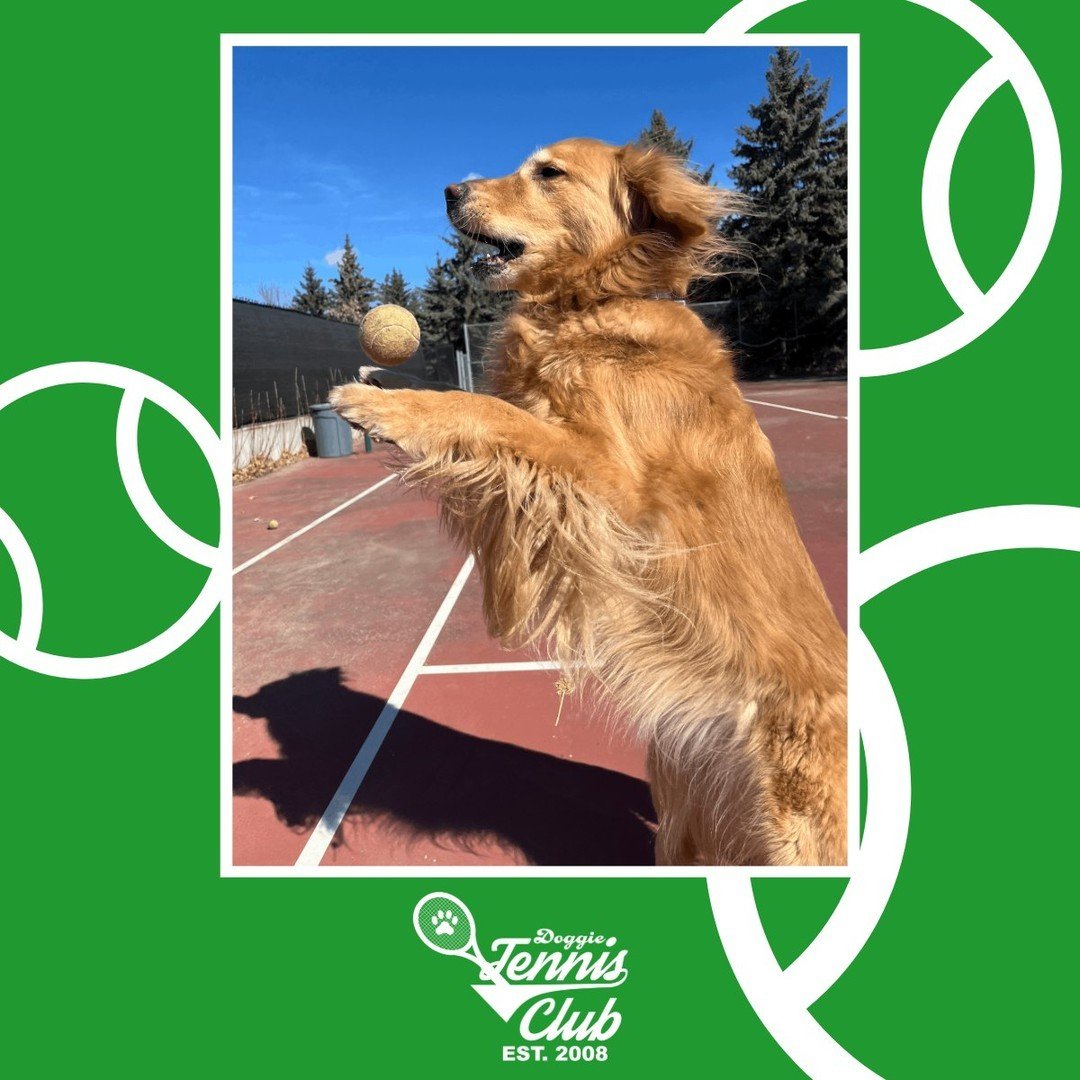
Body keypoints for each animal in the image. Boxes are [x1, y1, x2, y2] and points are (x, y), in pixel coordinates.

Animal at [324, 139, 846, 864]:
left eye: (548, 172)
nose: (450, 191)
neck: (594, 302)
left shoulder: (605, 478)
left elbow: (483, 411)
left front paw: (383, 406)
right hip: (682, 799)